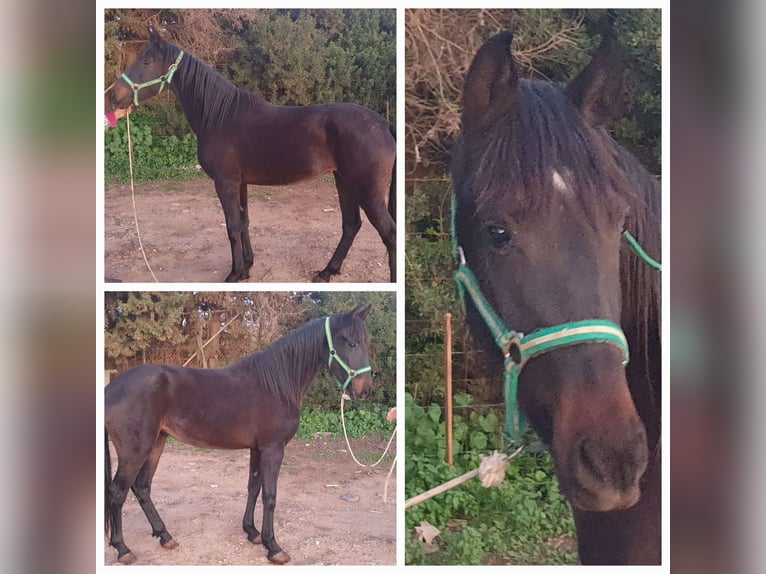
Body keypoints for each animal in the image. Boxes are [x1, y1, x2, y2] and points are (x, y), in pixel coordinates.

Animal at [105, 308, 376, 564]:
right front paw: (273, 547)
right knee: (118, 492)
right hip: (135, 451)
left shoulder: (257, 449)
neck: (277, 384)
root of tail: (111, 388)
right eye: (352, 343)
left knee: (142, 488)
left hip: (156, 444)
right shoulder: (273, 449)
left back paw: (164, 536)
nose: (365, 391)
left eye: (366, 342)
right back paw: (123, 549)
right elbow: (269, 496)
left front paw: (252, 532)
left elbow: (253, 488)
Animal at [111, 28, 400, 284]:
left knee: (389, 234)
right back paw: (326, 272)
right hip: (344, 182)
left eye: (147, 60)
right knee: (351, 225)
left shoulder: (225, 183)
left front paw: (234, 274)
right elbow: (244, 222)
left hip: (366, 190)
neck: (219, 117)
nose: (114, 95)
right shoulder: (240, 184)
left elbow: (231, 227)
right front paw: (247, 267)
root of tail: (384, 124)